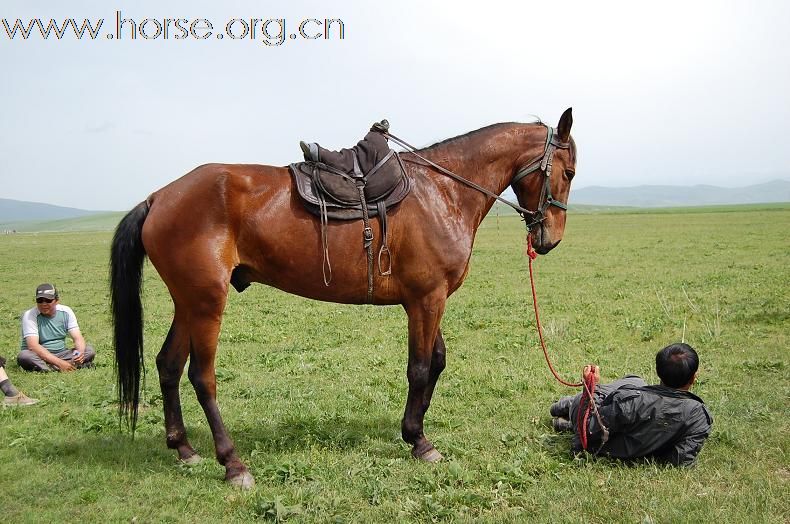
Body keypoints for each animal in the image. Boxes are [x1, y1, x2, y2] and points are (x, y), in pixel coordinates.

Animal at [111, 106, 580, 488]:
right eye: (569, 172)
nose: (551, 237)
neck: (442, 191)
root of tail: (158, 197)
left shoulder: (430, 299)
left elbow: (437, 361)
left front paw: (414, 429)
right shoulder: (427, 300)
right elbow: (420, 368)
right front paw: (419, 440)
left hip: (188, 302)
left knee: (168, 365)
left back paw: (184, 449)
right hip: (207, 303)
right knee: (201, 377)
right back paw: (232, 464)